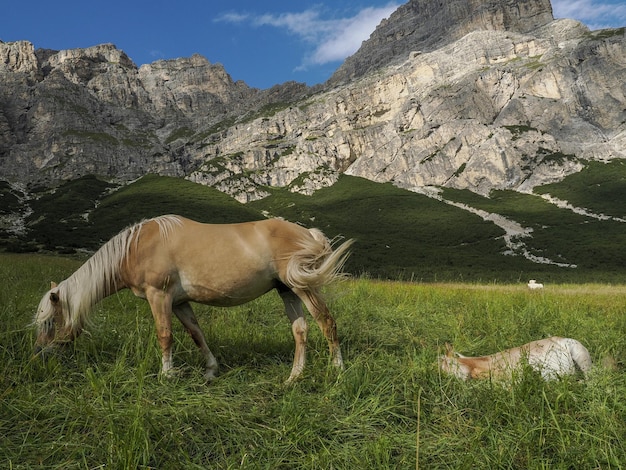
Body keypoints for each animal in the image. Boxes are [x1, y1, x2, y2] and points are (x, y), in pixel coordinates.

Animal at [34, 215, 354, 384]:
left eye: (50, 322)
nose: (39, 354)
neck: (137, 247)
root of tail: (307, 232)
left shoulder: (159, 296)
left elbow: (165, 335)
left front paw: (167, 375)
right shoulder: (178, 302)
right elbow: (196, 334)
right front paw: (211, 371)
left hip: (302, 287)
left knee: (326, 322)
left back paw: (337, 370)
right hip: (287, 290)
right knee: (301, 330)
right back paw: (294, 377)